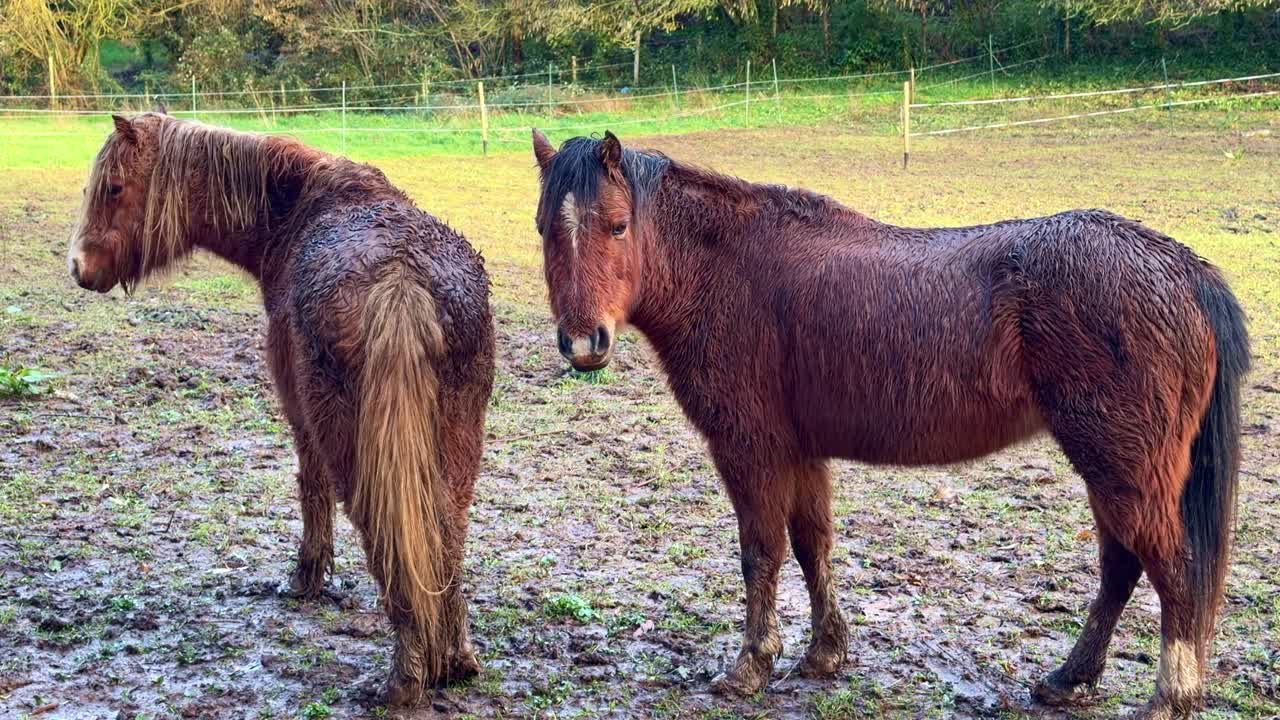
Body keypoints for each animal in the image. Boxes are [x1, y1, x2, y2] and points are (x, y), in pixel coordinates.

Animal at [68, 111, 495, 706]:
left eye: (113, 187)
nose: (78, 267)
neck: (296, 208)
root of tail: (400, 283)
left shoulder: (300, 410)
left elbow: (311, 487)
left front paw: (306, 579)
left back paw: (405, 679)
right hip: (456, 444)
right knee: (446, 536)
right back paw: (454, 660)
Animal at [531, 129, 1248, 719]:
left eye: (618, 225)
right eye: (543, 228)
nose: (583, 344)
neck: (728, 271)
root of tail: (1182, 268)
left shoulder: (749, 451)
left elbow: (760, 552)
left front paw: (751, 665)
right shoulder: (800, 454)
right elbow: (812, 546)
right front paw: (824, 654)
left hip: (1121, 466)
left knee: (1172, 568)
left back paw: (1169, 697)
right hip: (1113, 468)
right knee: (1122, 568)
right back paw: (1069, 680)